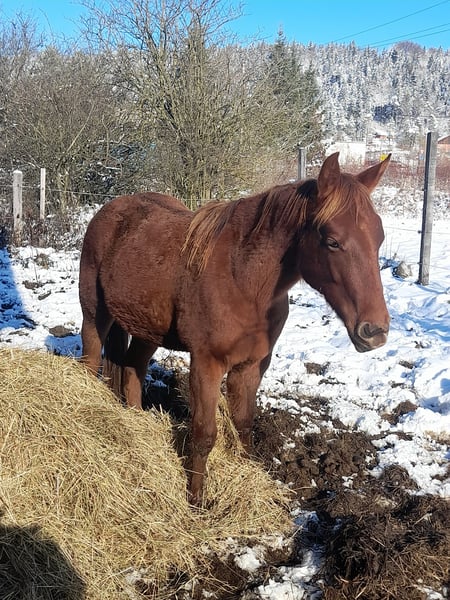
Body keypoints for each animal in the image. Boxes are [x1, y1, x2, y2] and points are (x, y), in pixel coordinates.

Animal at [79, 152, 391, 506]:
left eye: (379, 238)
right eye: (332, 241)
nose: (375, 331)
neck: (242, 279)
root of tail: (109, 210)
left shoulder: (251, 366)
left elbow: (244, 427)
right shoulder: (206, 364)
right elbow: (204, 434)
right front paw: (196, 502)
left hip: (147, 329)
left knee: (132, 370)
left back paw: (136, 422)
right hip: (94, 315)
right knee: (91, 362)